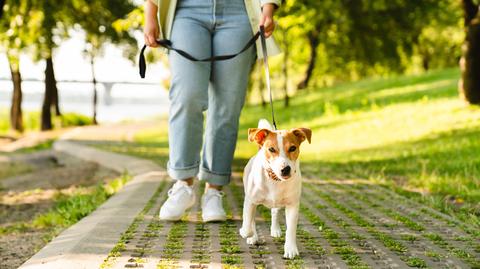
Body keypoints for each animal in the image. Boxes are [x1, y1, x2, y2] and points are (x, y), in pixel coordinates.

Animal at [239, 118, 312, 258]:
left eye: (293, 148)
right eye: (271, 149)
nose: (285, 169)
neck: (275, 179)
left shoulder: (292, 205)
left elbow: (291, 230)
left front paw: (290, 249)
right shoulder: (250, 201)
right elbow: (248, 221)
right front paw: (247, 233)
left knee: (275, 212)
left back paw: (275, 229)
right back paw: (253, 236)